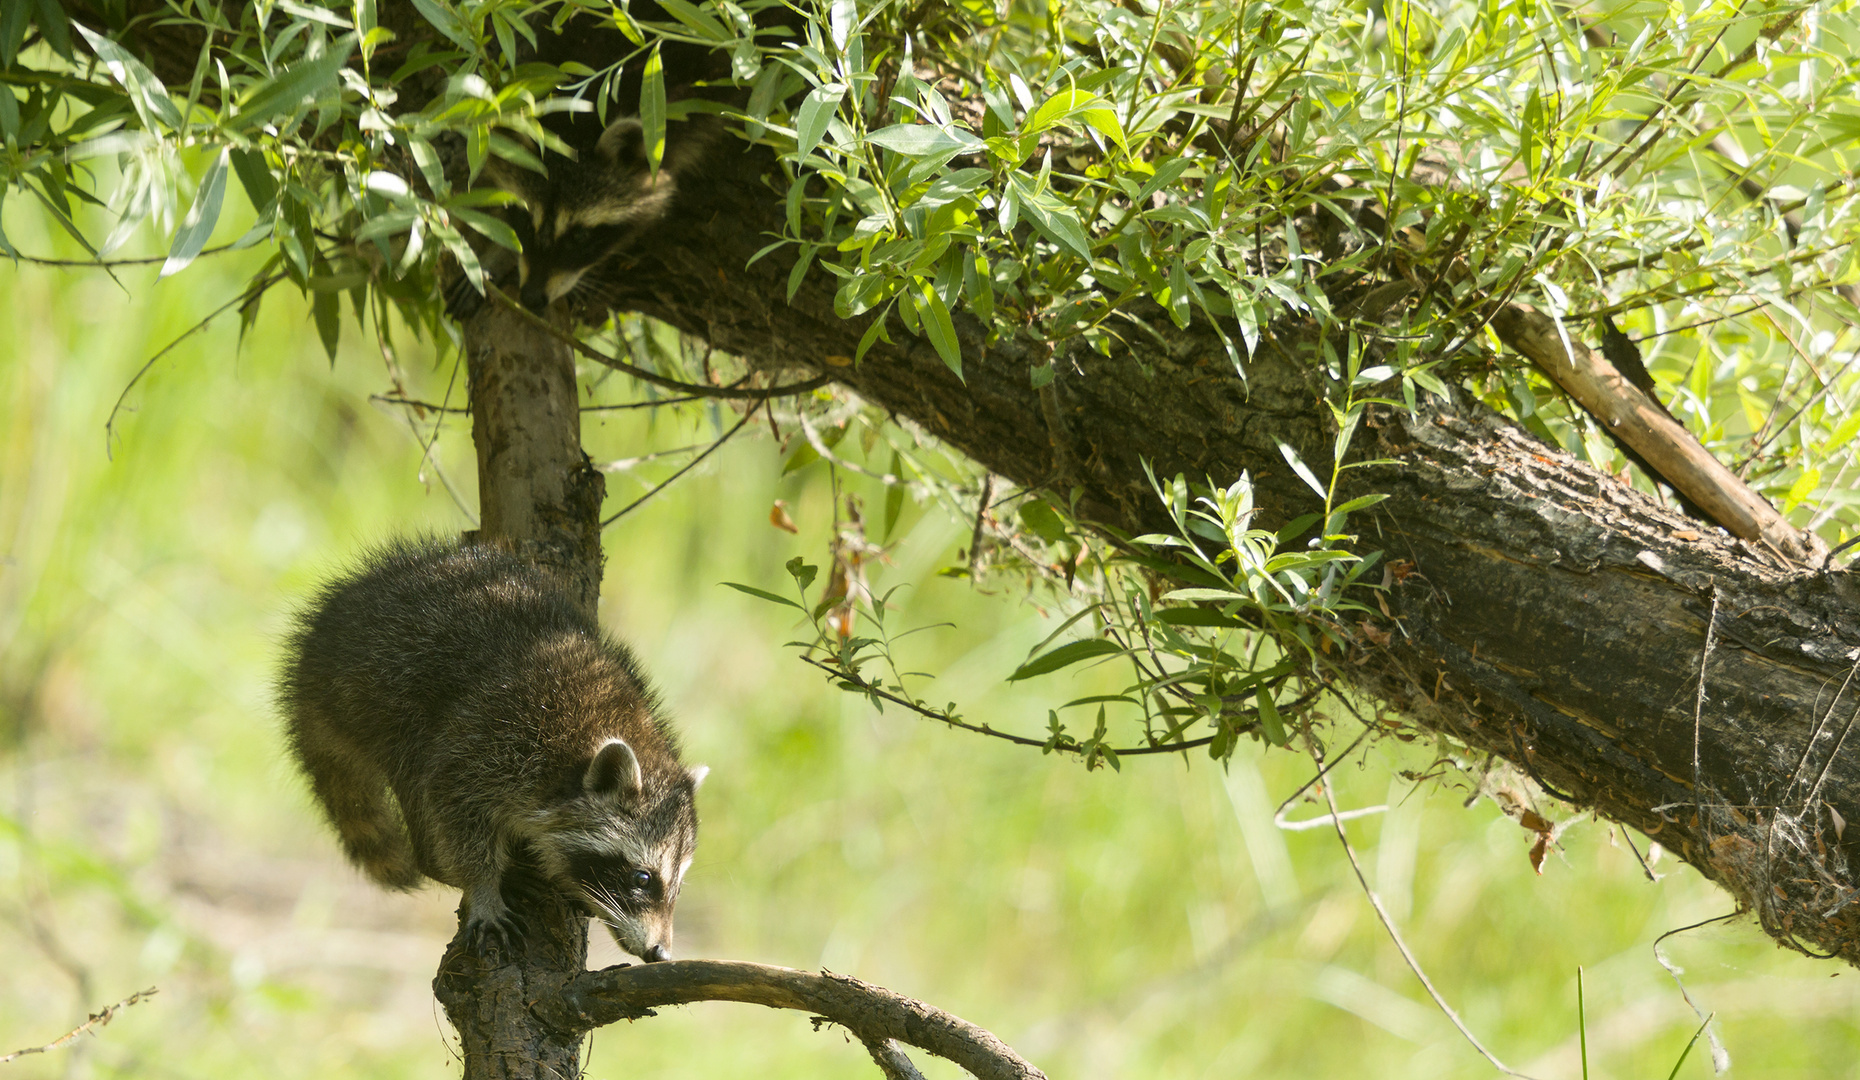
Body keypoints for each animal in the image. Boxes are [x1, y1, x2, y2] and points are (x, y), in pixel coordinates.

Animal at [275, 539, 703, 959]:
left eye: (679, 884)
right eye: (642, 878)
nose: (660, 953)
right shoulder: (493, 738)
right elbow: (453, 803)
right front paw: (482, 885)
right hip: (373, 699)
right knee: (417, 779)